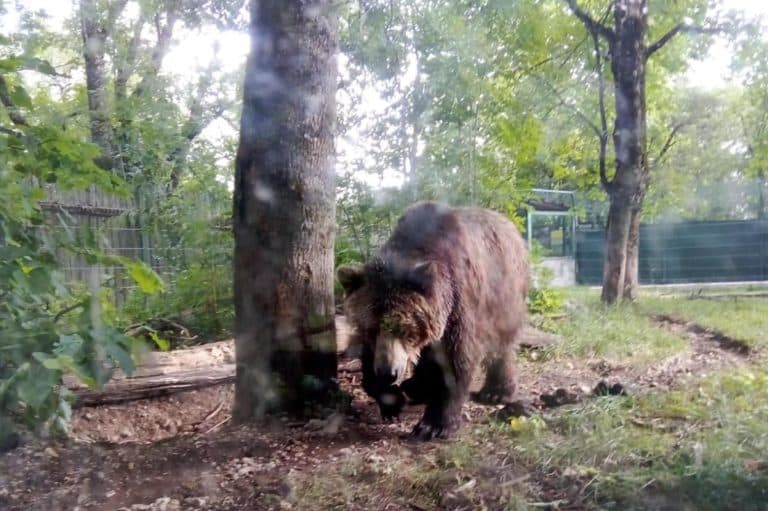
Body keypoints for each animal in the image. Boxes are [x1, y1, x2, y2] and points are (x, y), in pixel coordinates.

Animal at [337, 201, 530, 440]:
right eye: (371, 329)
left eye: (403, 329)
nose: (389, 372)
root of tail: (510, 226)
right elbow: (370, 357)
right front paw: (390, 400)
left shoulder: (458, 302)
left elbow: (455, 359)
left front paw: (433, 425)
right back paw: (416, 386)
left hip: (504, 294)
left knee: (502, 344)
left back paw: (496, 392)